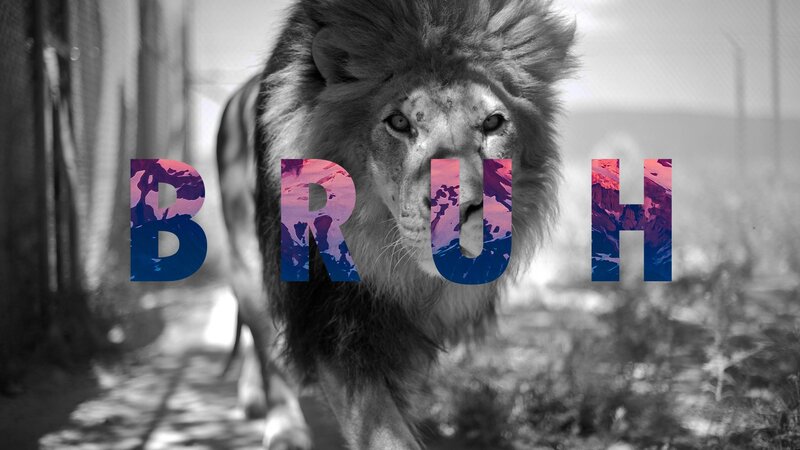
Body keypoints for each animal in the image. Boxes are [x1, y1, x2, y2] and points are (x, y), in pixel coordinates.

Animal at [217, 0, 575, 448]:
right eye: (400, 123)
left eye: (493, 123)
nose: (457, 210)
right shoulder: (331, 317)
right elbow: (383, 429)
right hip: (247, 255)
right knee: (265, 339)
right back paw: (283, 428)